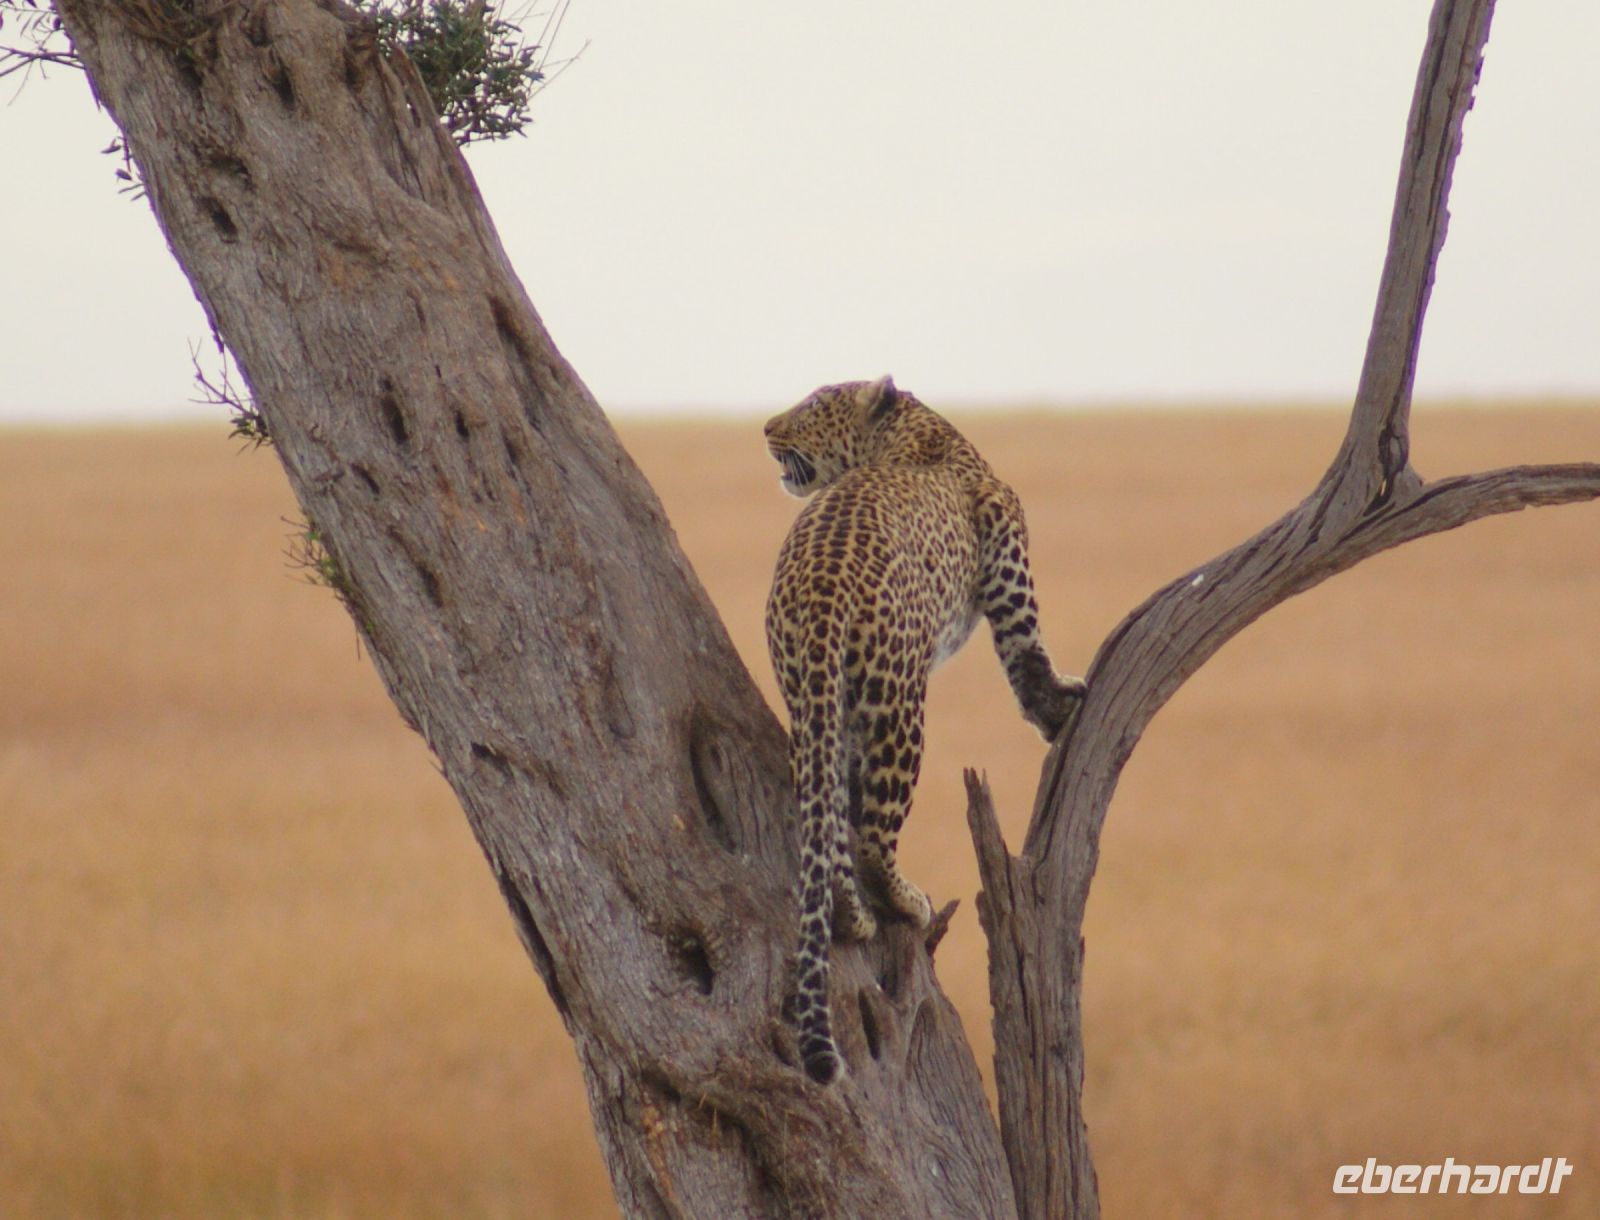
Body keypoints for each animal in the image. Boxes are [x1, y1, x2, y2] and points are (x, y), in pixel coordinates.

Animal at [764, 374, 1086, 1085]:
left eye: (814, 403)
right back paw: (905, 902)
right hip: (900, 704)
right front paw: (1061, 710)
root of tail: (821, 588)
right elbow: (1028, 659)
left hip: (818, 708)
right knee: (870, 839)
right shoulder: (1010, 572)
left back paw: (850, 914)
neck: (912, 430)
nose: (766, 427)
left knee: (827, 823)